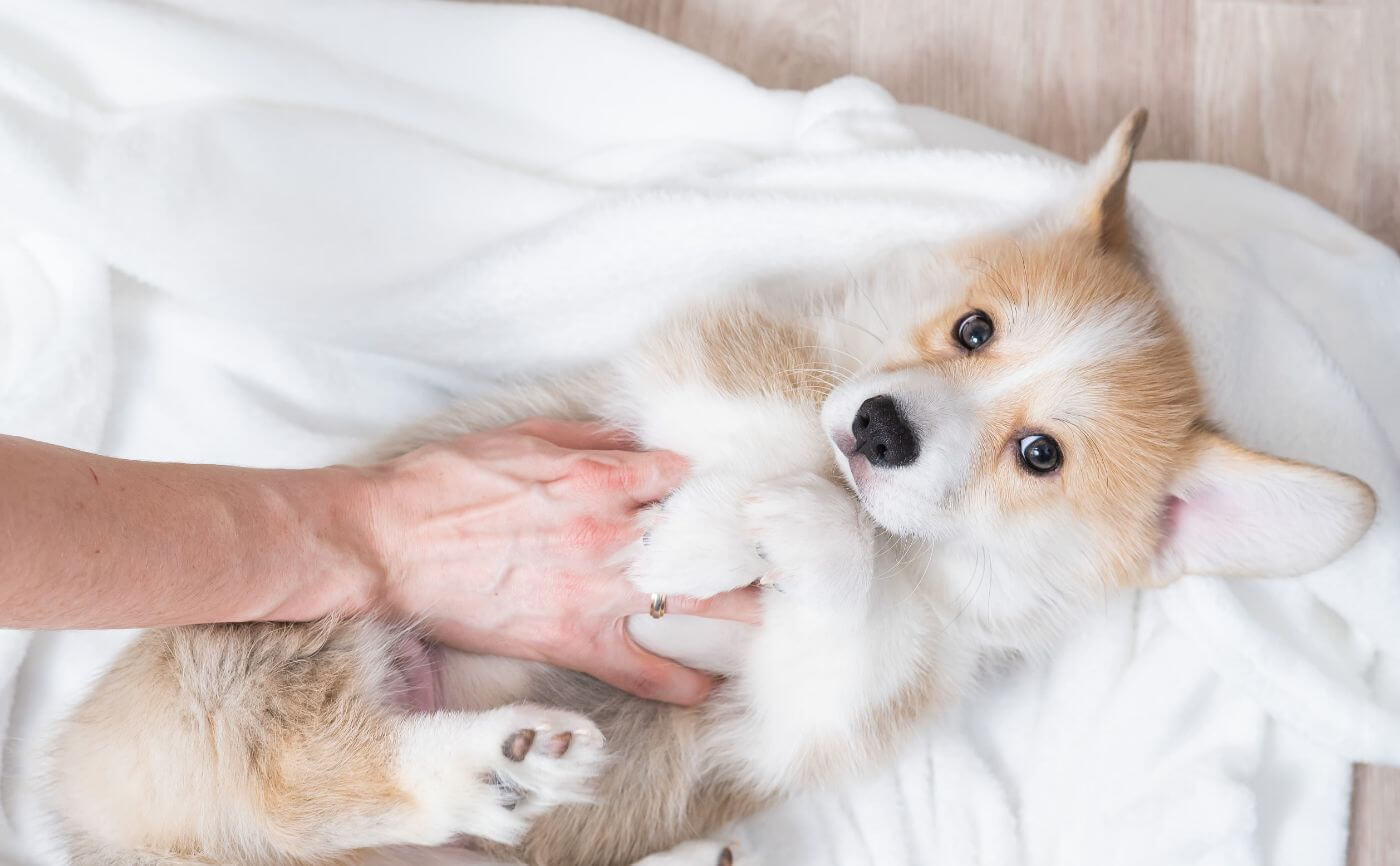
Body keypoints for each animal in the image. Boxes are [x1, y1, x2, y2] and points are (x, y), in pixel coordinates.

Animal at [49, 113, 1372, 866]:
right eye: (973, 328)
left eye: (1039, 453)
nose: (881, 428)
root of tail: (84, 800)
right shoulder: (699, 365)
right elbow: (777, 425)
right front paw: (706, 531)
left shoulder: (805, 712)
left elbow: (836, 607)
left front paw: (783, 533)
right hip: (290, 632)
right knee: (299, 769)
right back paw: (490, 761)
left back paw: (529, 775)